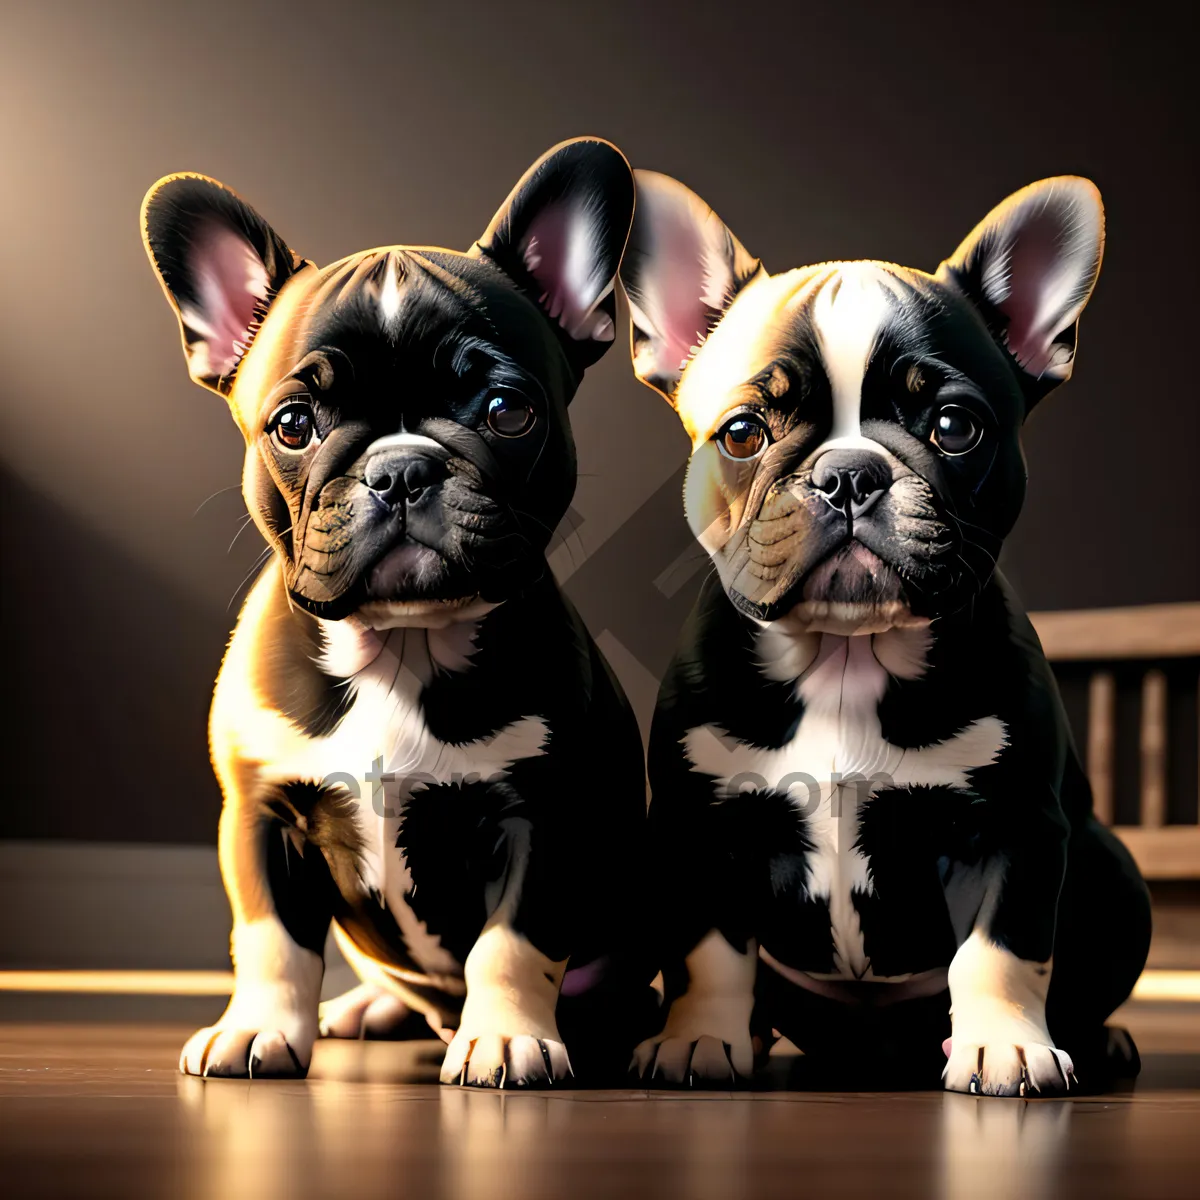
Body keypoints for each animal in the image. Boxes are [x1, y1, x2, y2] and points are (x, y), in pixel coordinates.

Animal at [619, 171, 1152, 1099]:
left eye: (954, 426)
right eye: (743, 432)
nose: (849, 474)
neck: (846, 653)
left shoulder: (1013, 829)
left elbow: (1002, 951)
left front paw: (1006, 1047)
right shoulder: (701, 827)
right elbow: (711, 950)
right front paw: (697, 1039)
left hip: (1112, 871)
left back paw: (1101, 1040)